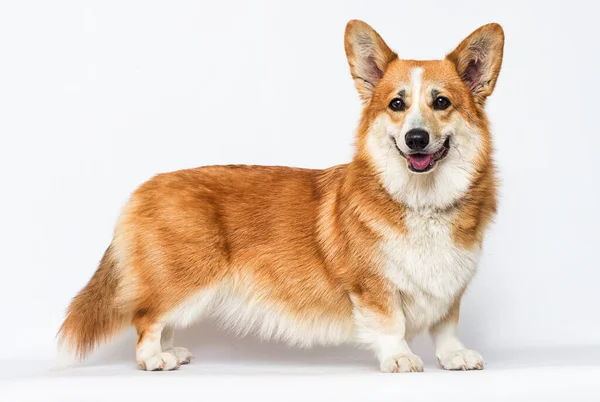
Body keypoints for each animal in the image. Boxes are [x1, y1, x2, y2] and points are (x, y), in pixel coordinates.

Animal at [58, 20, 504, 372]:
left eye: (441, 102)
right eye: (397, 104)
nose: (416, 138)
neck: (420, 200)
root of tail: (142, 189)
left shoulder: (451, 285)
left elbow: (446, 325)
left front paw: (454, 356)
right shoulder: (373, 287)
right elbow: (390, 323)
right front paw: (399, 358)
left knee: (161, 321)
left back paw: (174, 351)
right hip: (185, 279)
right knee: (147, 317)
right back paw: (155, 359)